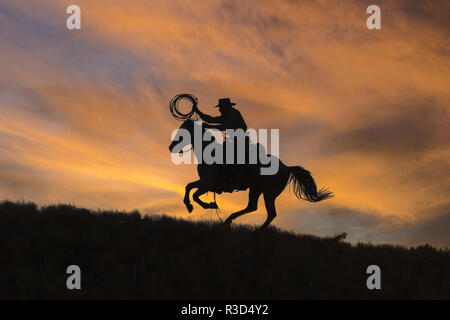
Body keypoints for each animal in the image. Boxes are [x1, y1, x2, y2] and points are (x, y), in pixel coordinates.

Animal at [167, 119, 332, 228]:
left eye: (183, 132)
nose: (171, 147)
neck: (209, 152)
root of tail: (287, 167)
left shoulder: (209, 184)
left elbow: (193, 193)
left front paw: (204, 205)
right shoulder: (206, 183)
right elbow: (189, 187)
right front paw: (197, 205)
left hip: (269, 193)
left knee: (270, 213)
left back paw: (256, 230)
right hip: (256, 189)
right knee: (253, 207)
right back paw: (229, 220)